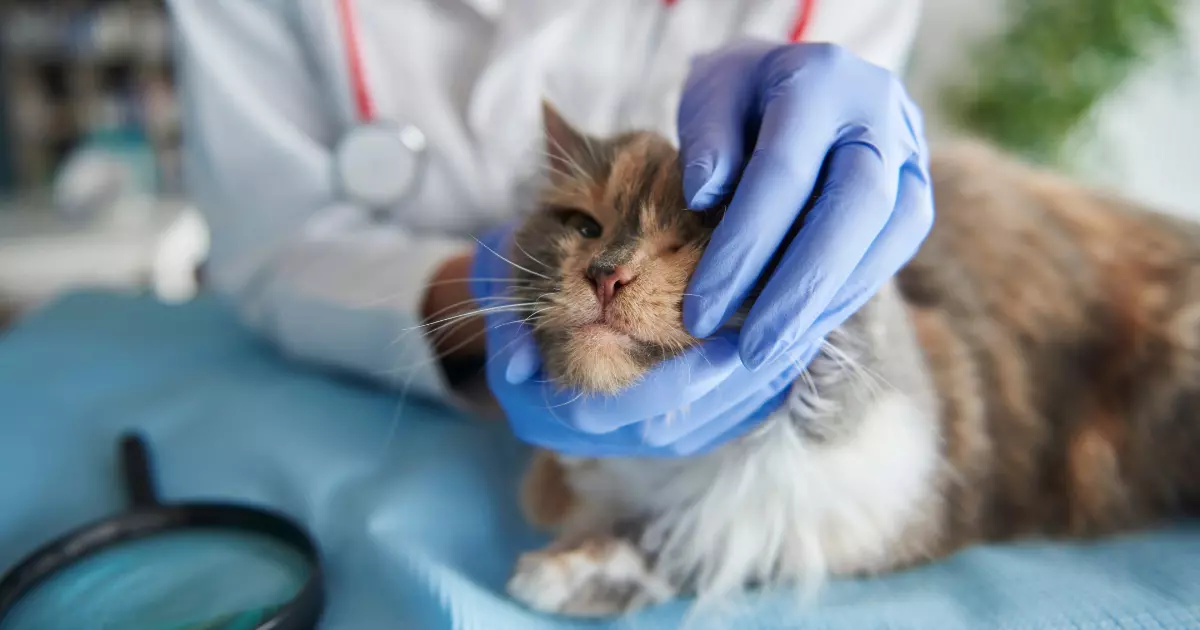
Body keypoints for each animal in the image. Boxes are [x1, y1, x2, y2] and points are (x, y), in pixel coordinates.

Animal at [496, 102, 1200, 614]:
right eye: (585, 228)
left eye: (705, 235)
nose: (606, 275)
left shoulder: (886, 498)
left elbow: (706, 534)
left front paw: (565, 574)